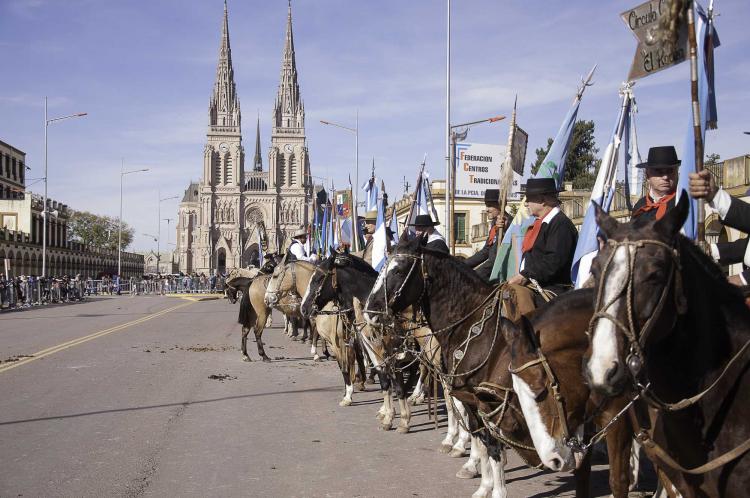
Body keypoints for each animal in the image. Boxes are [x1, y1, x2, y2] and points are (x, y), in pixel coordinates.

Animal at [502, 288, 636, 498]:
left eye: (540, 390)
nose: (552, 460)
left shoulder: (617, 420)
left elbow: (618, 481)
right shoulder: (585, 423)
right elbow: (581, 476)